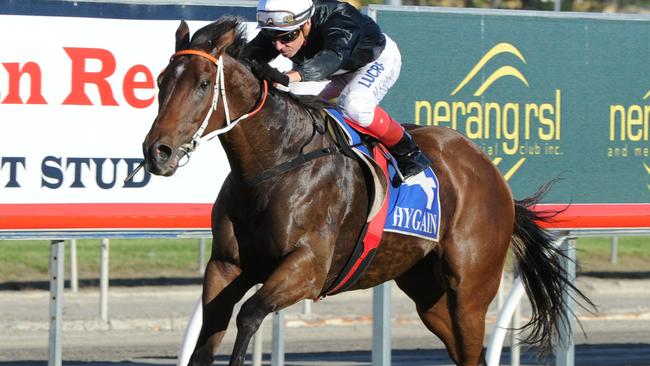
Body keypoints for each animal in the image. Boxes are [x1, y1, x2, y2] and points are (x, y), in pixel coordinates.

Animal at [144, 17, 588, 366]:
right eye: (161, 82)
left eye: (204, 84)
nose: (156, 152)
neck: (275, 162)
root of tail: (491, 173)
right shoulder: (226, 265)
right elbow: (208, 334)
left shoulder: (308, 267)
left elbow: (250, 314)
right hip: (427, 290)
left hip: (471, 289)